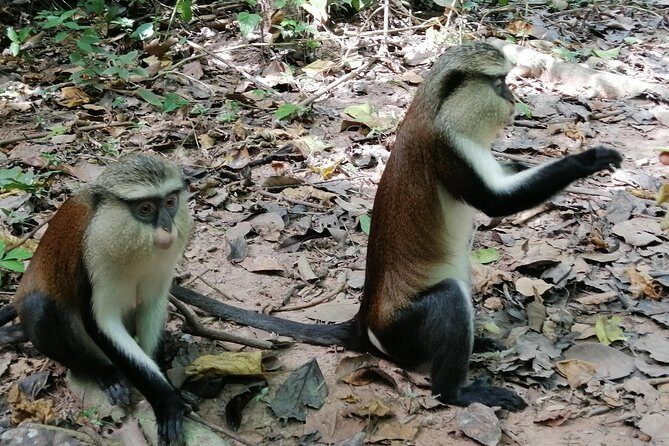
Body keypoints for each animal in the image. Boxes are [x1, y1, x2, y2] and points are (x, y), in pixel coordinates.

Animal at [1, 154, 193, 446]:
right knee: (41, 308)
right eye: (146, 209)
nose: (167, 229)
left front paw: (168, 384)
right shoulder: (94, 263)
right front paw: (166, 402)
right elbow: (102, 321)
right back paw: (106, 373)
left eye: (170, 203)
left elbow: (152, 306)